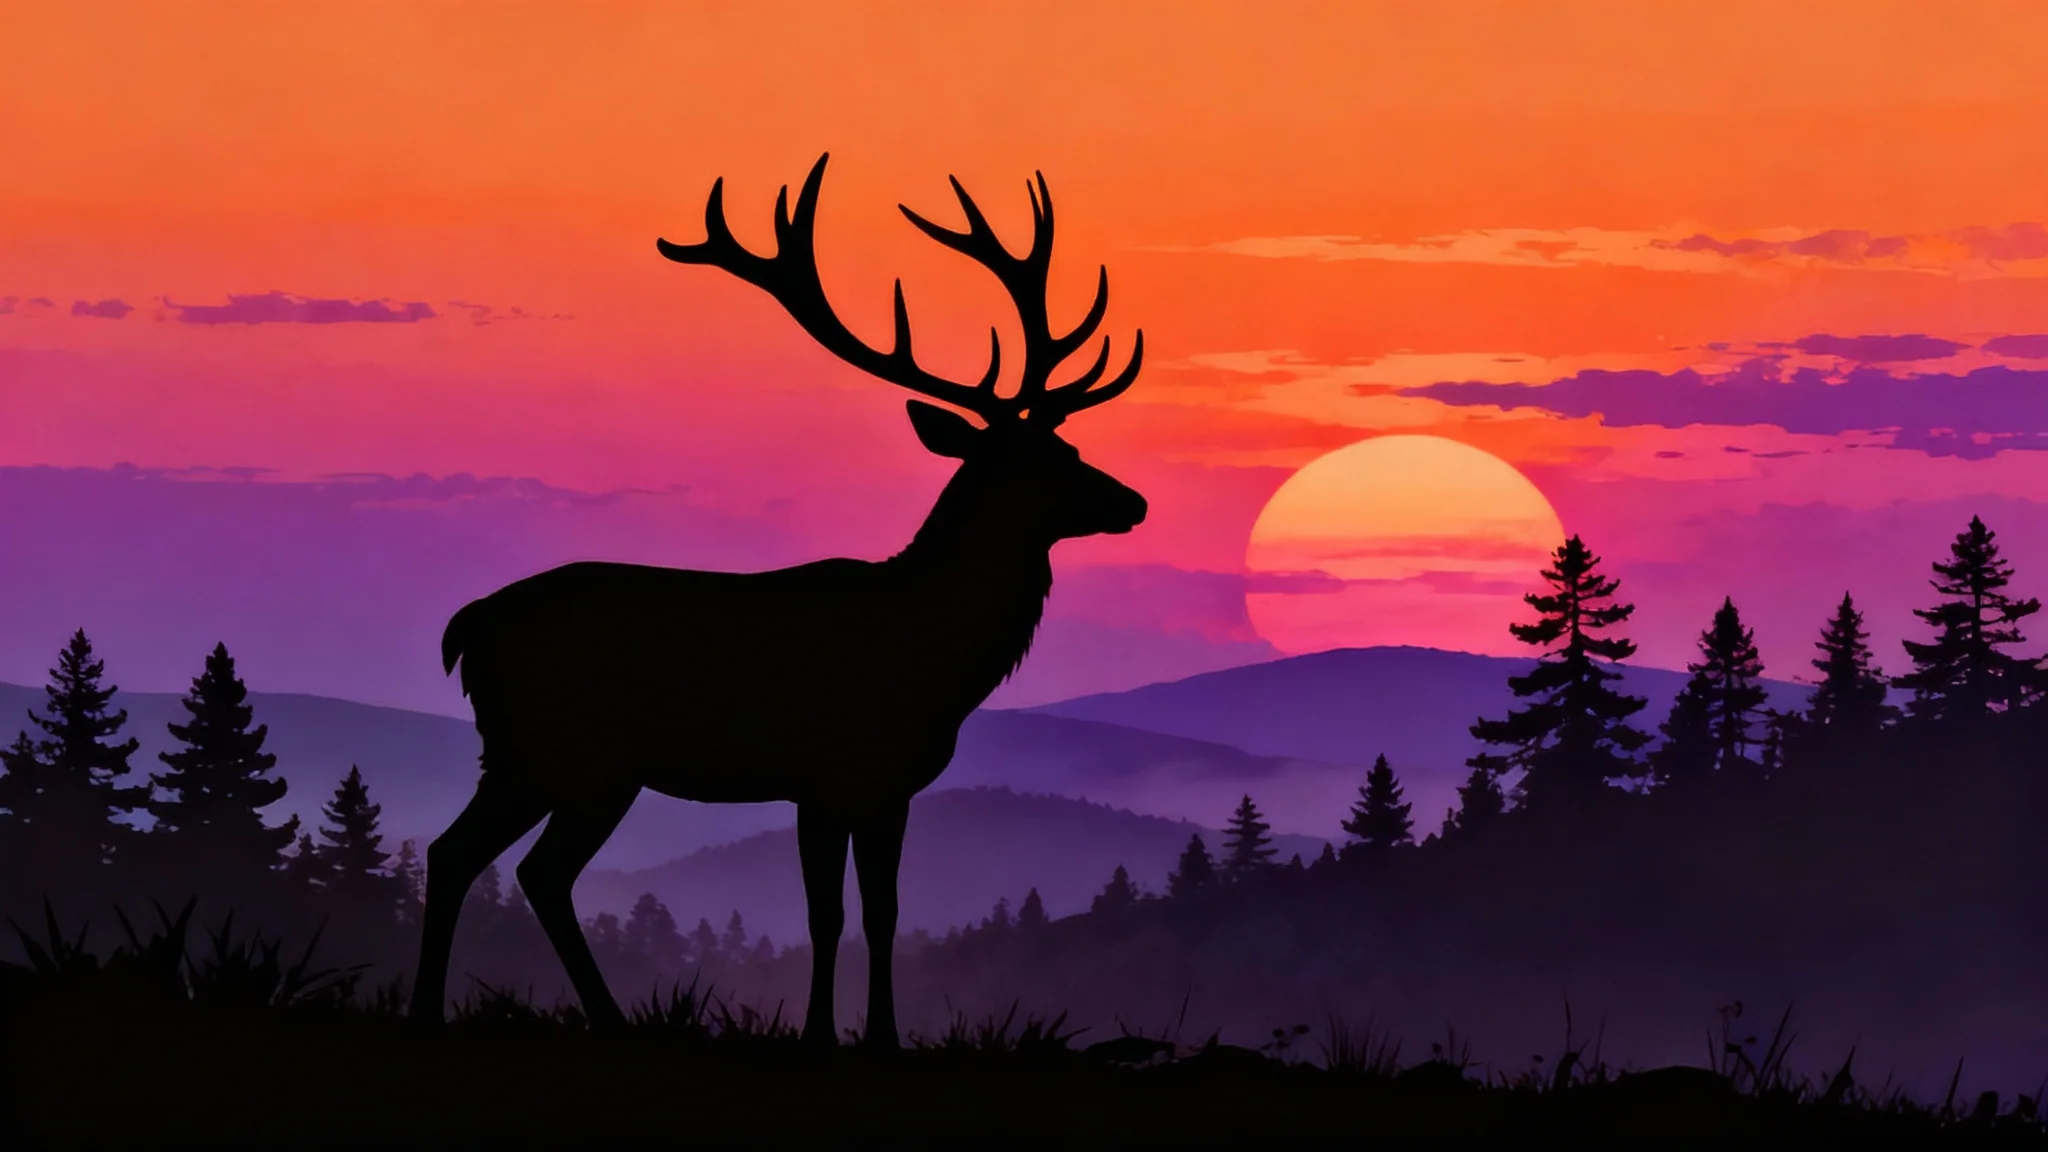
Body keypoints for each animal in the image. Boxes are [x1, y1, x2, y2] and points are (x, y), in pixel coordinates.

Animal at [407, 153, 1147, 1047]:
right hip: (573, 754)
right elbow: (830, 915)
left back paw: (438, 1014)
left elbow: (880, 912)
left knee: (462, 855)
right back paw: (595, 1018)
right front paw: (825, 1033)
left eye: (1068, 443)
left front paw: (880, 1036)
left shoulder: (882, 787)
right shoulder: (832, 774)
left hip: (528, 756)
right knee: (530, 867)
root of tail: (465, 627)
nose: (1134, 502)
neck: (936, 659)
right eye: (1045, 460)